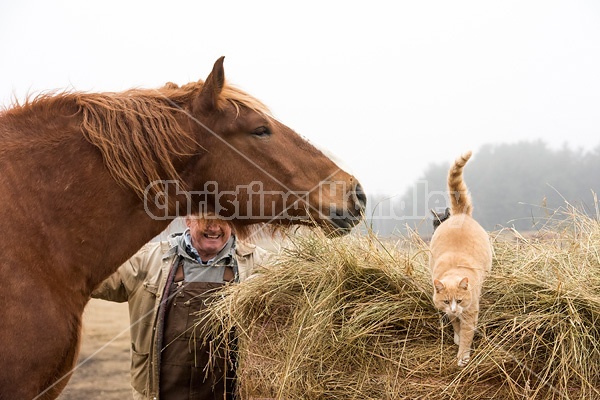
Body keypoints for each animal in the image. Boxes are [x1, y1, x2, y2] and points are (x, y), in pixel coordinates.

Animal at [432, 152, 492, 368]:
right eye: (446, 301)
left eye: (459, 299)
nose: (454, 308)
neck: (454, 270)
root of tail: (459, 214)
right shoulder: (448, 311)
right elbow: (455, 325)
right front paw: (456, 336)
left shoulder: (470, 311)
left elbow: (467, 333)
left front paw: (463, 356)